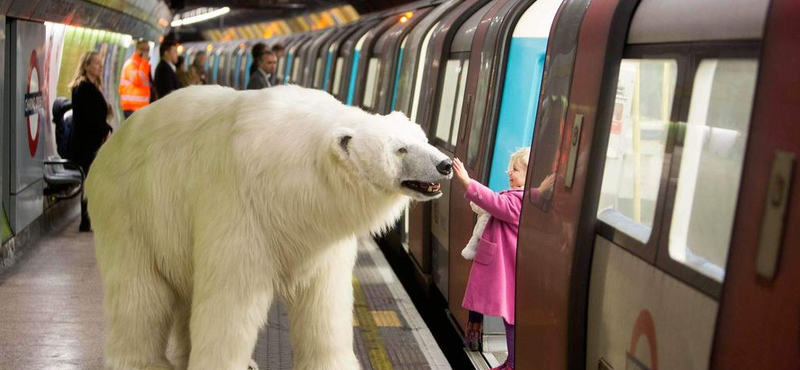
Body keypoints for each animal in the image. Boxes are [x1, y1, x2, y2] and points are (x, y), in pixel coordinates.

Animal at [87, 84, 454, 370]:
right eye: (400, 149)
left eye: (421, 137)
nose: (446, 164)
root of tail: (108, 147)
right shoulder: (239, 204)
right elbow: (230, 296)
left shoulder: (320, 233)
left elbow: (325, 299)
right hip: (130, 209)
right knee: (139, 291)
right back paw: (144, 362)